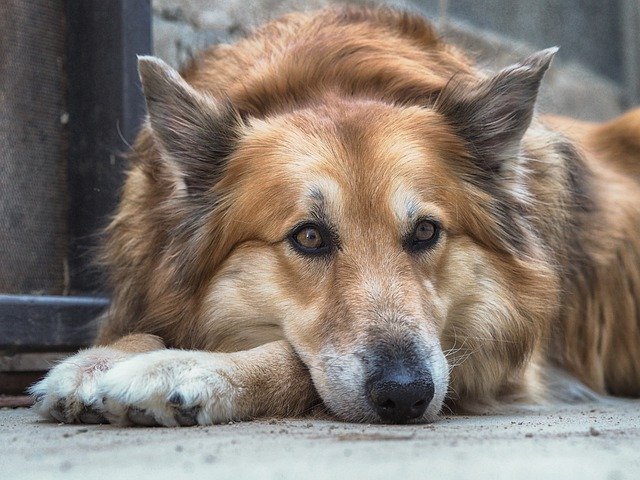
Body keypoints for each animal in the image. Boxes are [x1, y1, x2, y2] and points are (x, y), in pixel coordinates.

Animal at [30, 3, 640, 424]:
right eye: (309, 237)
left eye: (426, 231)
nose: (407, 394)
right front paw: (98, 361)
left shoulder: (496, 359)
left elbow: (296, 364)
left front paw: (186, 368)